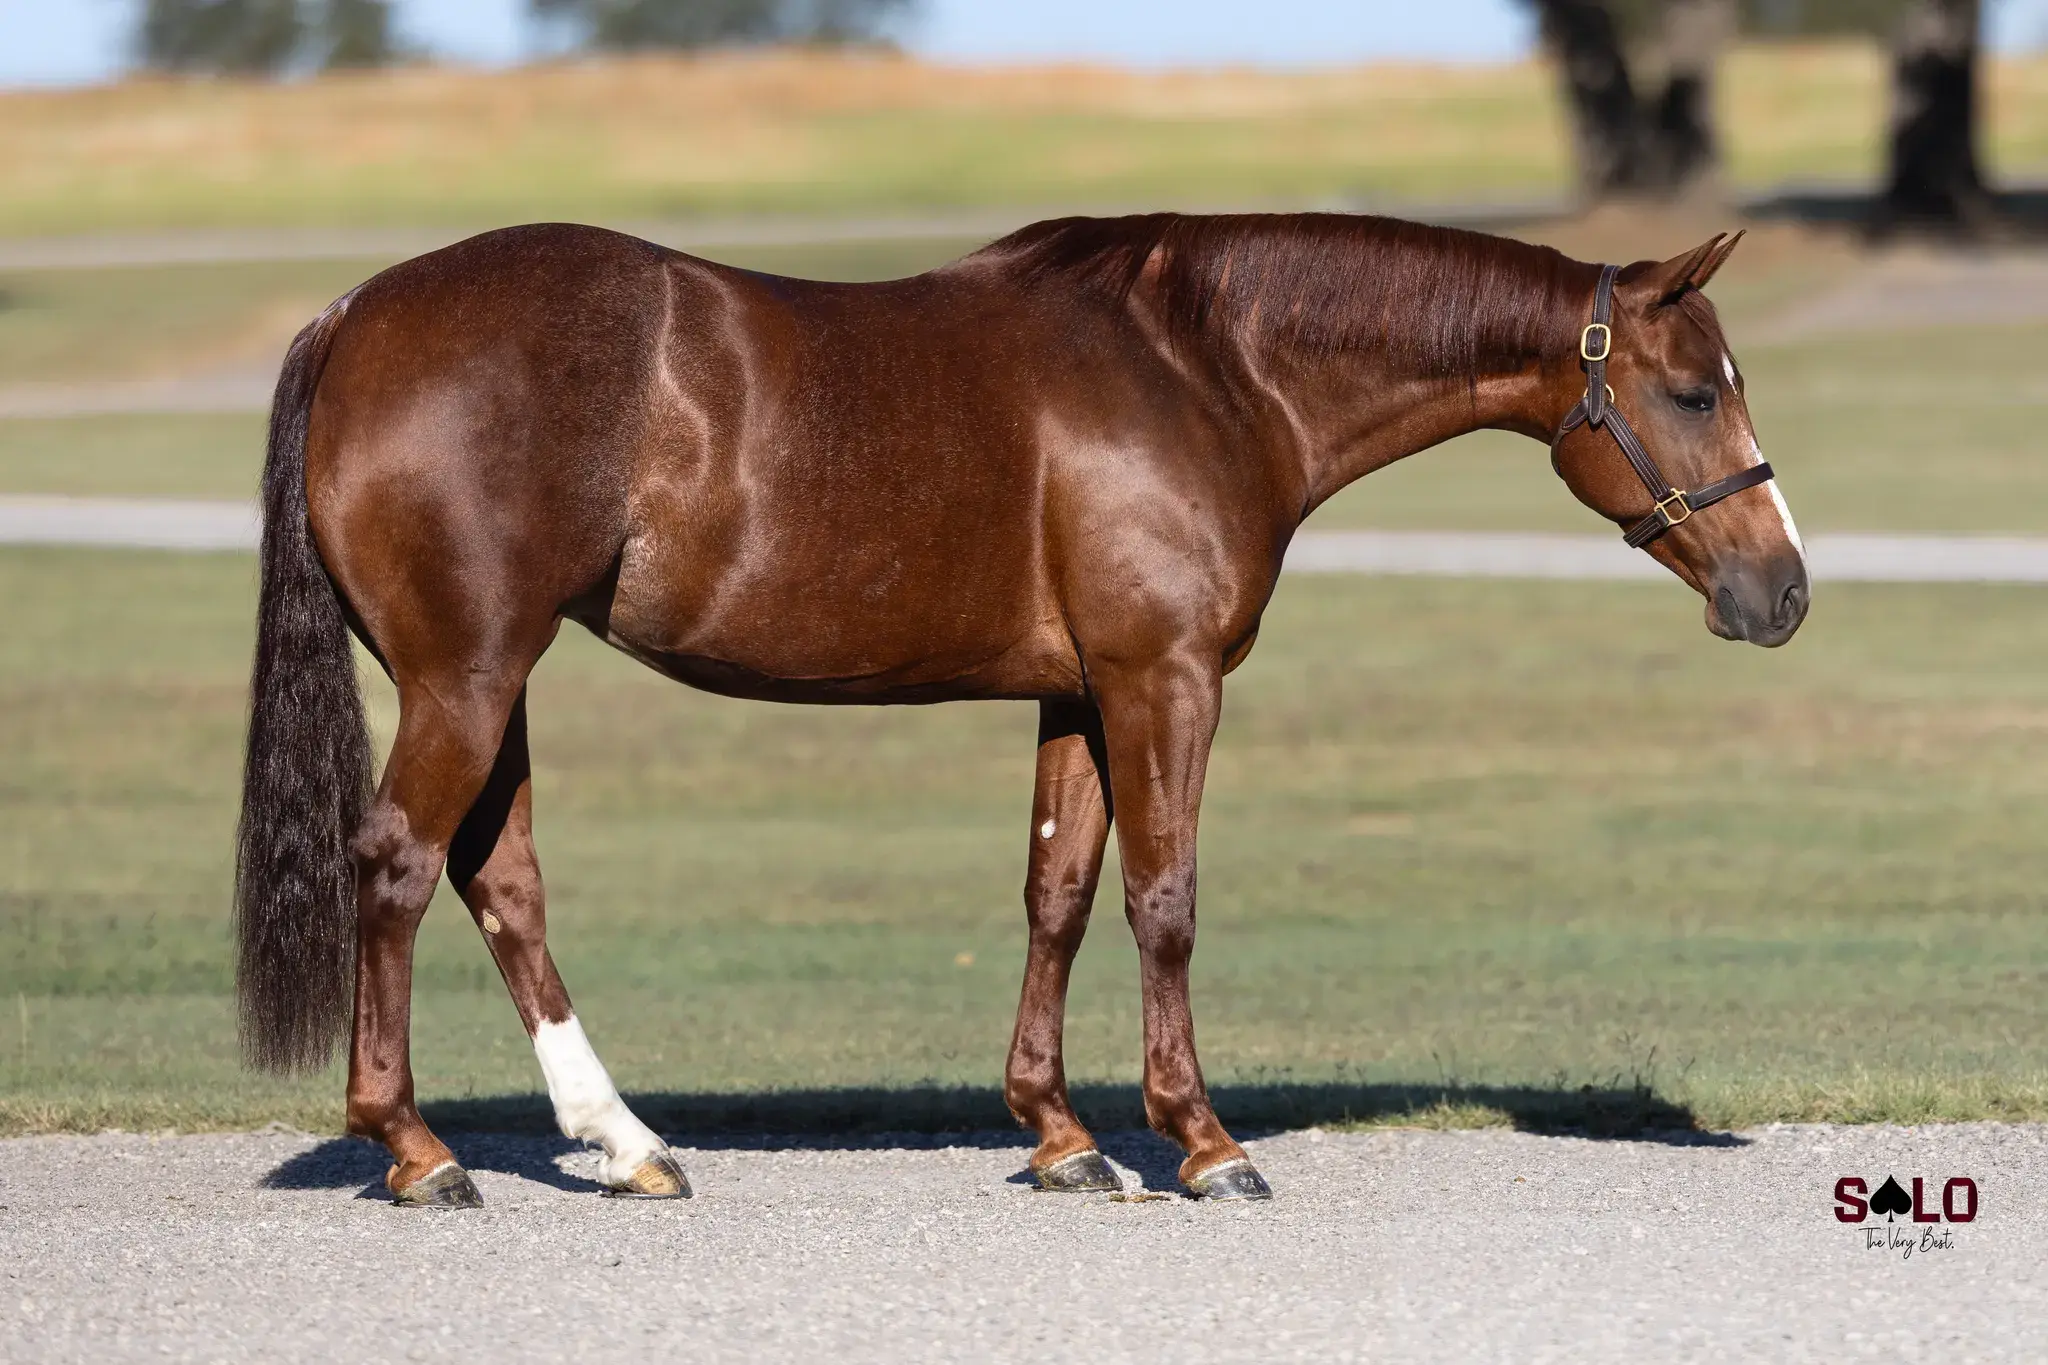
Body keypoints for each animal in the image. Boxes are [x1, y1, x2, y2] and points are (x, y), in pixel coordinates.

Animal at [235, 213, 1808, 1207]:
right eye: (1689, 391)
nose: (1782, 591)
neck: (1206, 366)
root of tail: (355, 314)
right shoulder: (1163, 678)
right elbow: (1164, 899)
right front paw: (1203, 1141)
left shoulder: (1078, 690)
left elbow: (1058, 892)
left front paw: (1059, 1136)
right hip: (467, 675)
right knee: (399, 869)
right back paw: (419, 1152)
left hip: (491, 679)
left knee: (500, 883)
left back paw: (622, 1142)